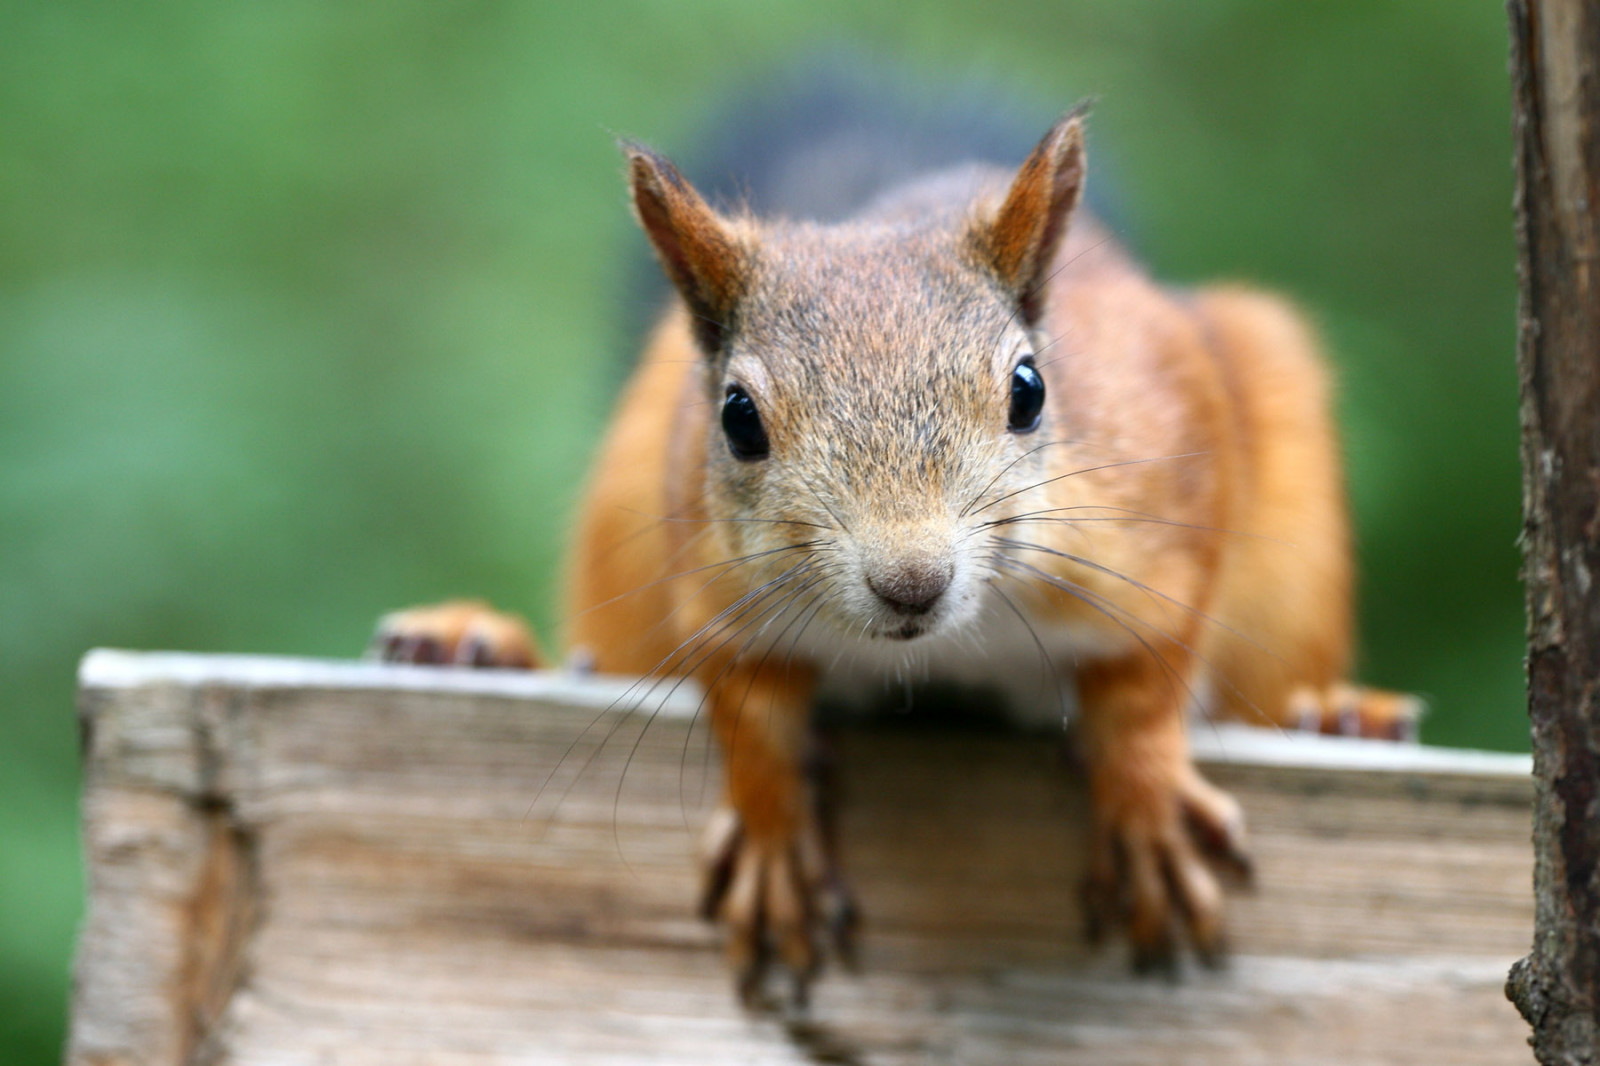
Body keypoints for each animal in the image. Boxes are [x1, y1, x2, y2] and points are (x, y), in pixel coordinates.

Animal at [372, 102, 1421, 1003]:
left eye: (1030, 390)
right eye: (736, 418)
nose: (911, 582)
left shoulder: (1163, 507)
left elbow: (1145, 677)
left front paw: (1147, 800)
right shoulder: (711, 578)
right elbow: (747, 709)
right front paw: (773, 832)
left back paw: (1340, 715)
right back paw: (474, 644)